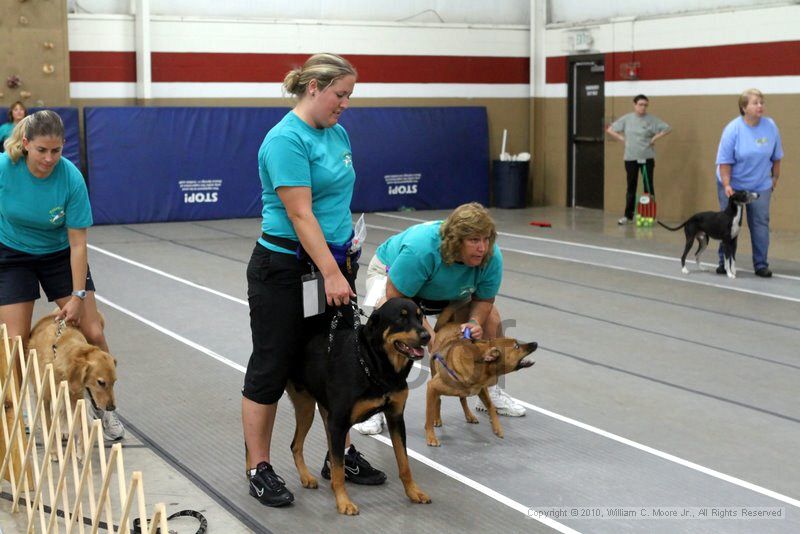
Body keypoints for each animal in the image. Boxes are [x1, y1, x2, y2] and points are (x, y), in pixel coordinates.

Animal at [286, 300, 432, 516]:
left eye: (420, 317)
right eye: (401, 317)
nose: (426, 336)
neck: (373, 364)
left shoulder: (396, 417)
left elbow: (404, 463)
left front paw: (414, 492)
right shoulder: (339, 422)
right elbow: (338, 469)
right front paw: (343, 502)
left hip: (316, 411)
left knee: (297, 445)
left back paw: (306, 477)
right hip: (309, 409)